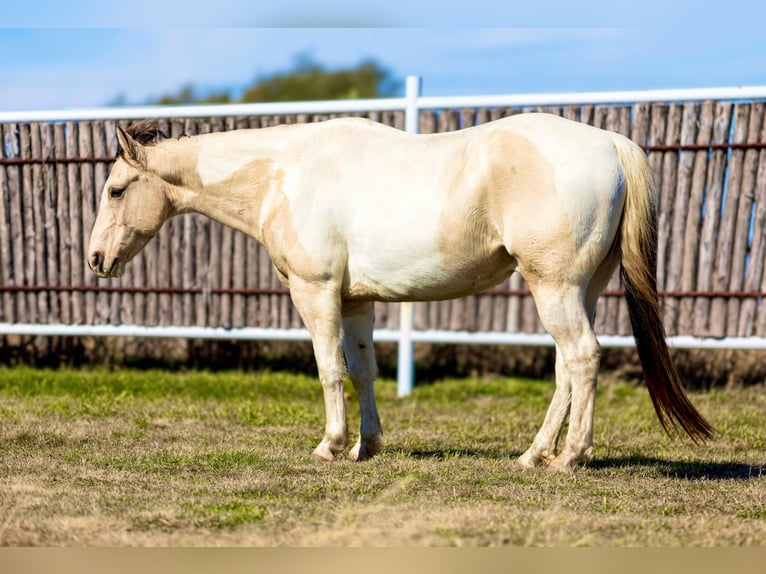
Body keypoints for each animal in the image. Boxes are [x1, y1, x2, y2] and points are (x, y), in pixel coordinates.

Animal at [87, 113, 713, 474]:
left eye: (116, 190)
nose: (95, 260)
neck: (283, 173)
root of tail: (610, 143)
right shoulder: (355, 301)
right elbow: (363, 371)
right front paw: (366, 446)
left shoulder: (315, 294)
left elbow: (329, 369)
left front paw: (330, 445)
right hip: (579, 290)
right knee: (568, 368)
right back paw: (535, 454)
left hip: (554, 288)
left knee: (581, 359)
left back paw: (569, 458)